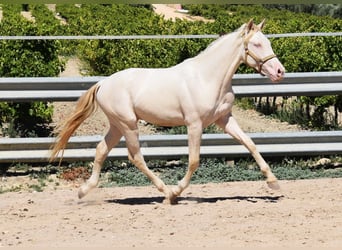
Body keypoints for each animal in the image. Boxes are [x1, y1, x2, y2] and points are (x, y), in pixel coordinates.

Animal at [50, 19, 286, 203]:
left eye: (268, 42)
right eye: (256, 44)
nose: (279, 72)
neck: (207, 78)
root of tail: (103, 83)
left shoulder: (224, 119)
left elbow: (250, 144)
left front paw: (273, 182)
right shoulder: (194, 124)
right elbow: (194, 160)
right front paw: (178, 190)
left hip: (117, 125)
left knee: (101, 150)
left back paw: (83, 191)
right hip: (128, 124)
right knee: (135, 156)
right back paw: (166, 192)